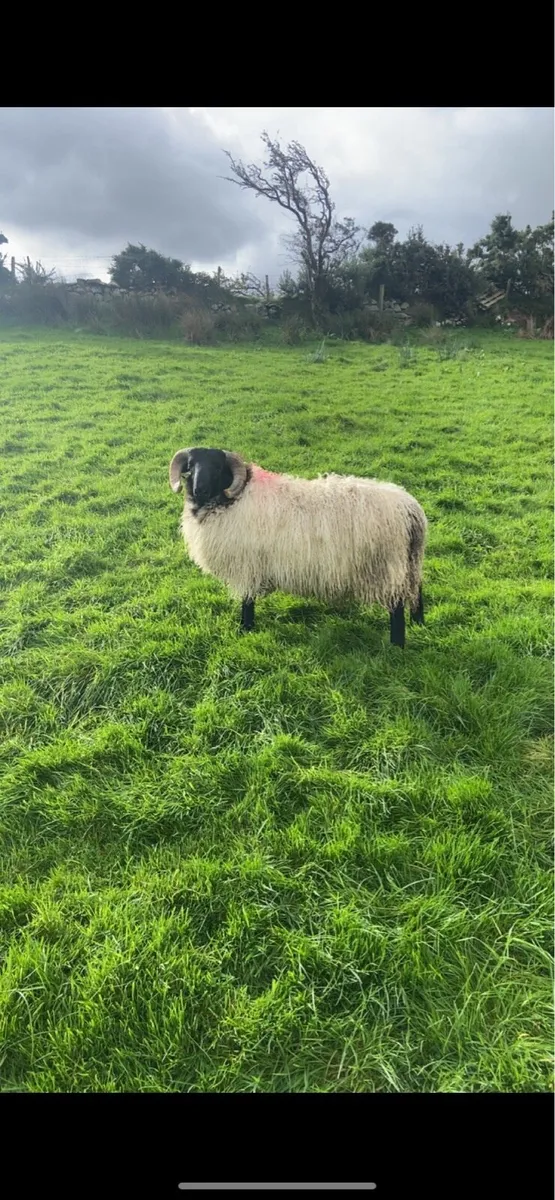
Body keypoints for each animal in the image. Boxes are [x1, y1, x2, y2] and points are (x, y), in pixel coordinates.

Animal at [169, 446, 427, 648]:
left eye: (218, 467)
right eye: (190, 466)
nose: (199, 489)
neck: (231, 499)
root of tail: (410, 508)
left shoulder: (248, 565)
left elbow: (247, 601)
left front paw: (245, 628)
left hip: (386, 568)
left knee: (396, 608)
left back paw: (396, 644)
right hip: (409, 563)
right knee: (417, 590)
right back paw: (419, 623)